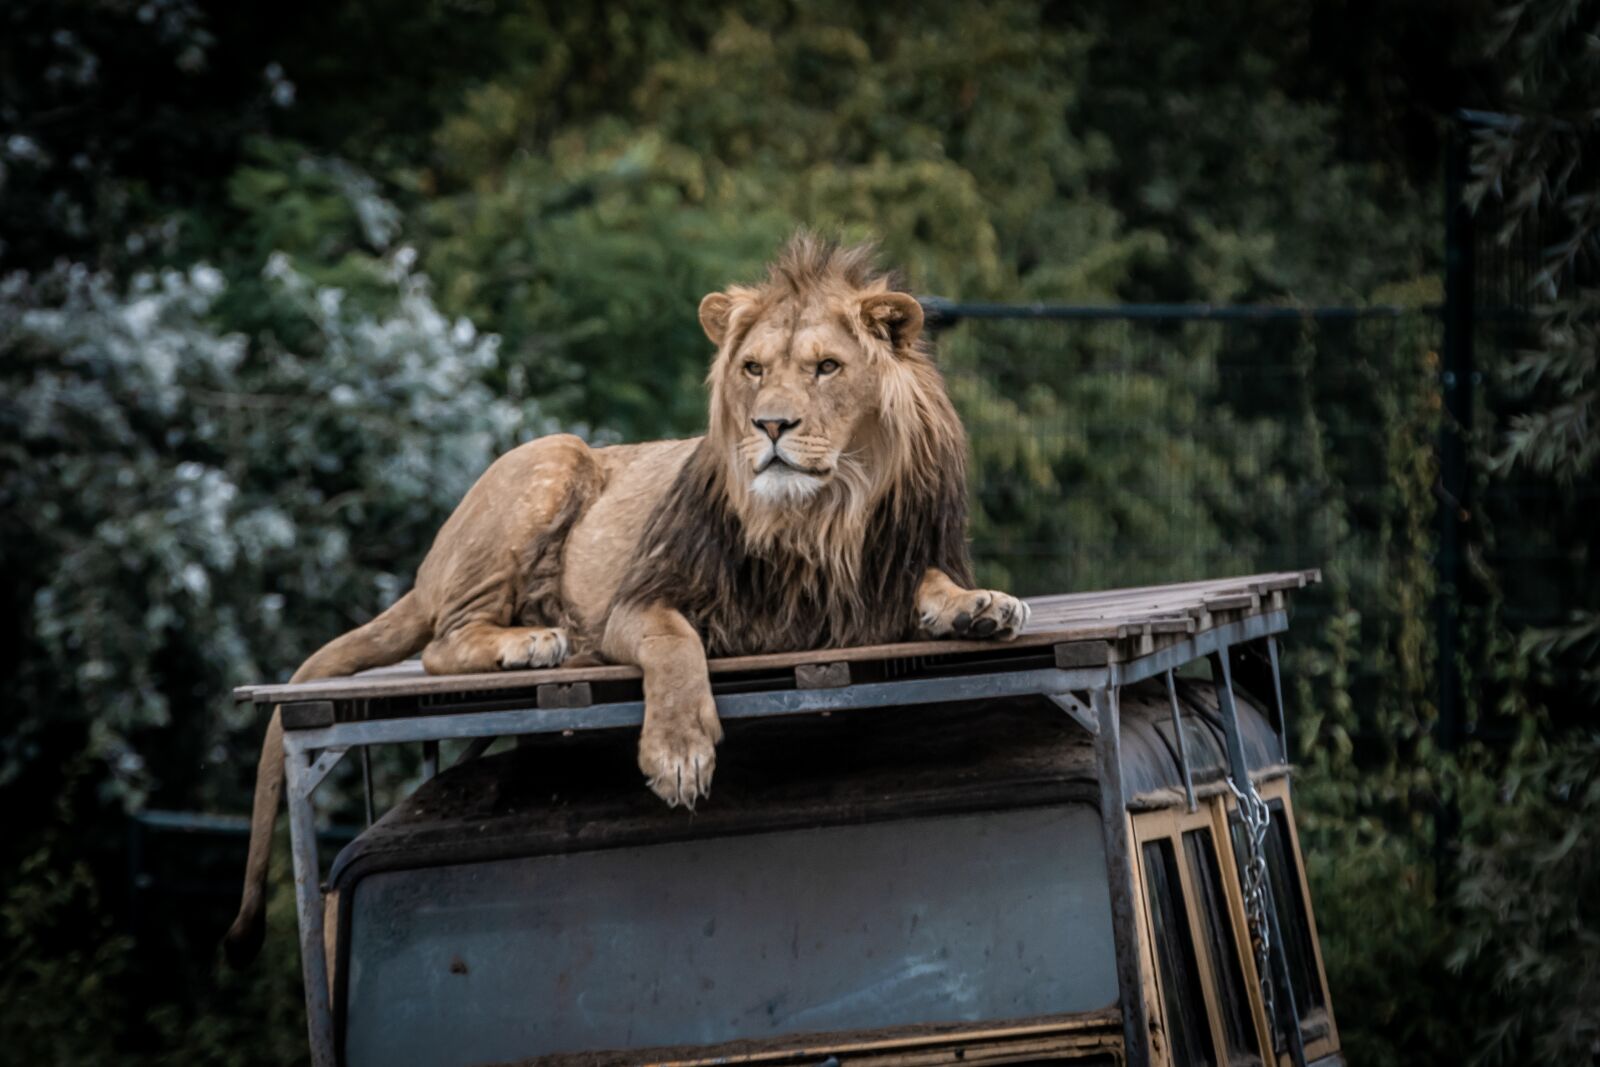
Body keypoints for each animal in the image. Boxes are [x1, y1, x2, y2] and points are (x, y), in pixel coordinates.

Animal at [223, 232, 1030, 967]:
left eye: (827, 367)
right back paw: (537, 642)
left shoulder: (884, 574)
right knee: (441, 644)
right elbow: (677, 646)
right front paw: (677, 752)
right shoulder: (644, 601)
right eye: (753, 370)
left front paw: (982, 602)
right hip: (553, 454)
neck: (820, 517)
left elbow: (934, 582)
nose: (770, 425)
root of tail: (427, 569)